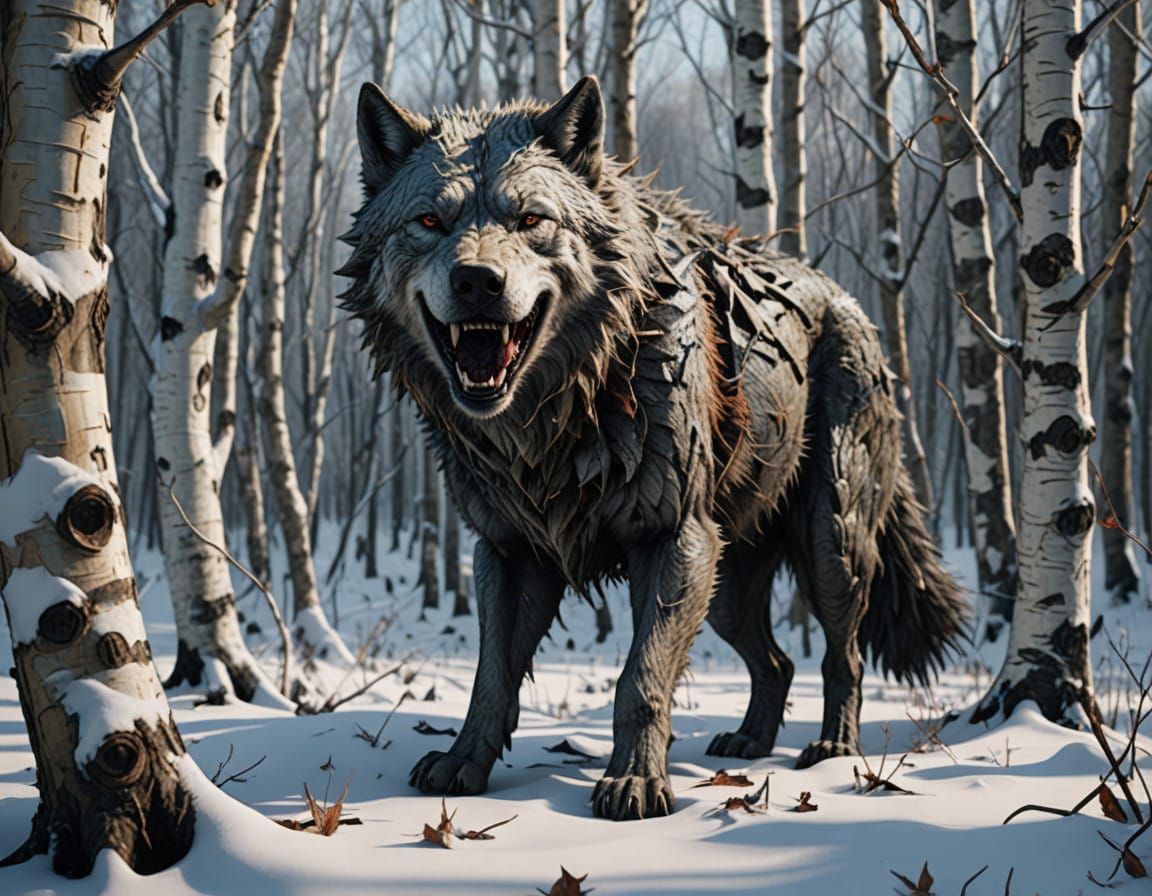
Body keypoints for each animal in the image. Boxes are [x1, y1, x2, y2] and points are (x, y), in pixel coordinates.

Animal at [341, 76, 967, 821]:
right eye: (430, 222)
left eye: (532, 220)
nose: (477, 282)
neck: (557, 418)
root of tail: (852, 303)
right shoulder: (509, 552)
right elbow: (491, 677)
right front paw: (464, 763)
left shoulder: (673, 539)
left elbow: (639, 680)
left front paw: (635, 783)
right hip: (726, 583)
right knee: (777, 662)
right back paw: (749, 743)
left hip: (828, 548)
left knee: (845, 657)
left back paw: (834, 750)